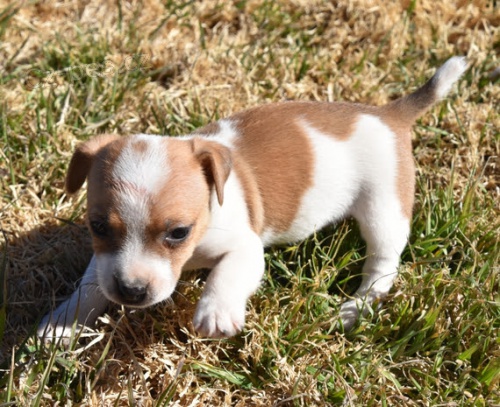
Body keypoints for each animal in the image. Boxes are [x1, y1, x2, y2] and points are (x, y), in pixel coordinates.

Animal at [39, 56, 468, 342]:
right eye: (97, 226)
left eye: (178, 232)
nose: (131, 291)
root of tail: (388, 115)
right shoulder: (104, 260)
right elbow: (90, 284)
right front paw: (63, 323)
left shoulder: (245, 248)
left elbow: (227, 274)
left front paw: (216, 311)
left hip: (383, 209)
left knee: (383, 264)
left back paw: (356, 306)